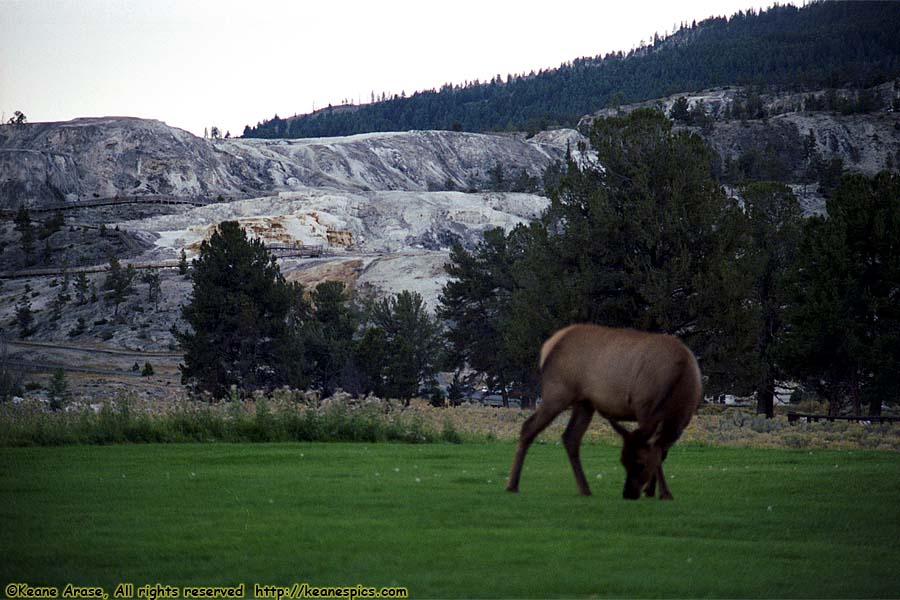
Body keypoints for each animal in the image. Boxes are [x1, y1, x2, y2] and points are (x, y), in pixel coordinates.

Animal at [506, 326, 704, 500]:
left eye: (640, 465)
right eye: (623, 462)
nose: (628, 494)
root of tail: (547, 346)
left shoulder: (682, 421)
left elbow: (661, 454)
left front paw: (652, 491)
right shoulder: (644, 410)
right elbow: (657, 452)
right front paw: (664, 493)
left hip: (584, 403)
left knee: (570, 437)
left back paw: (585, 489)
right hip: (557, 393)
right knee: (528, 427)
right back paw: (512, 485)